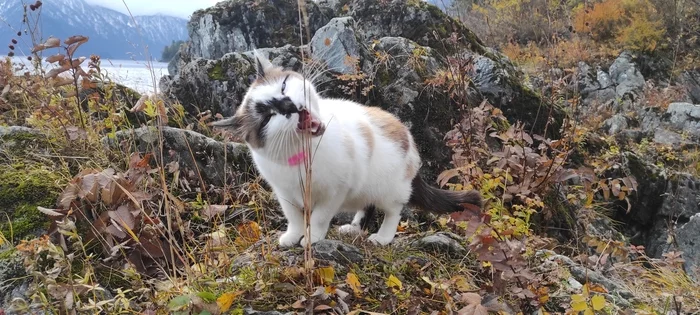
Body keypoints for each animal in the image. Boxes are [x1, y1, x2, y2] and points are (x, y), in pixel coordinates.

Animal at [211, 51, 482, 248]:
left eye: (284, 87)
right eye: (268, 117)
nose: (288, 105)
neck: (302, 157)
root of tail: (407, 134)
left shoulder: (334, 192)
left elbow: (319, 217)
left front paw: (312, 238)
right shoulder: (284, 194)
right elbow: (294, 218)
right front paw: (293, 236)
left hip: (389, 188)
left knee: (393, 211)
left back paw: (382, 237)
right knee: (368, 206)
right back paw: (353, 228)